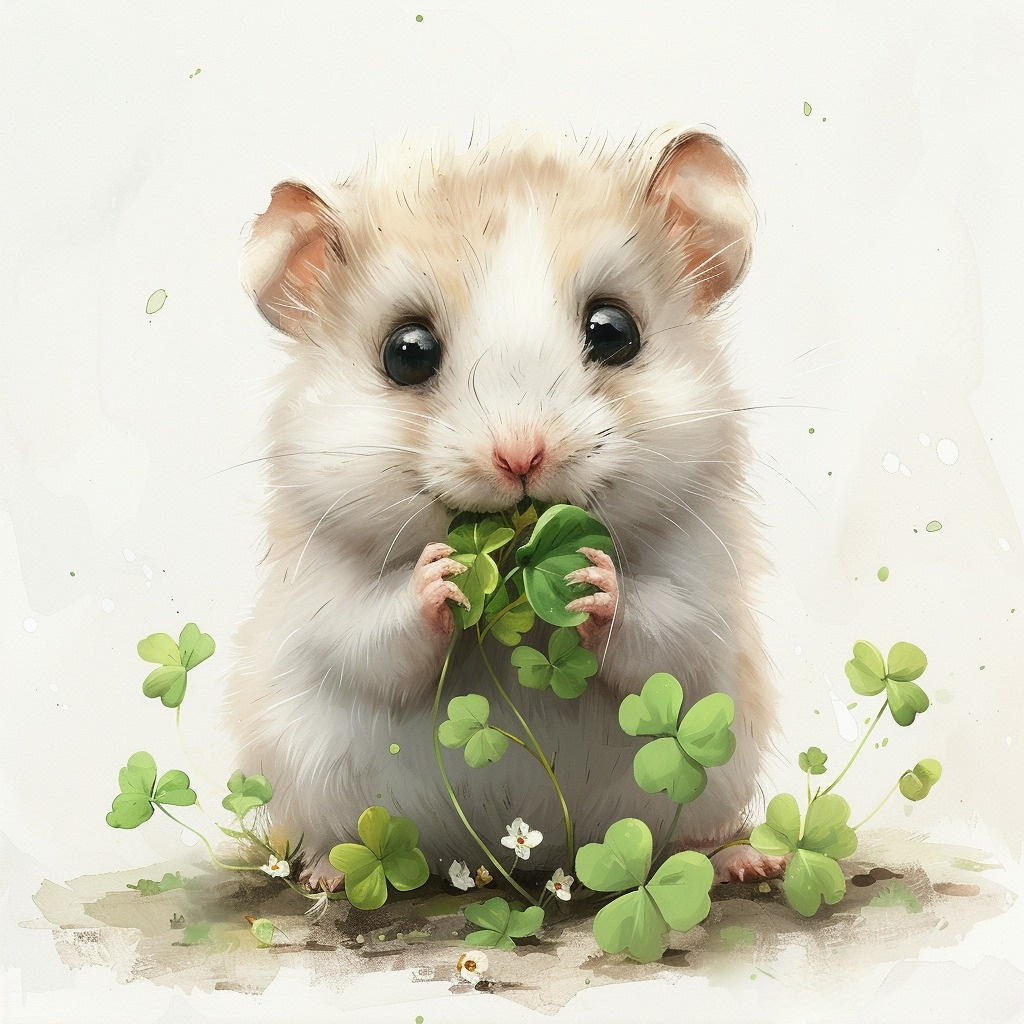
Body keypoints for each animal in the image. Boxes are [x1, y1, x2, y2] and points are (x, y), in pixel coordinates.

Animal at [227, 127, 782, 890]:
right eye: (406, 353)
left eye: (614, 331)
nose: (521, 457)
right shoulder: (321, 592)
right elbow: (370, 635)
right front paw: (440, 575)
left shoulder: (705, 586)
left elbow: (667, 630)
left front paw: (593, 579)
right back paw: (324, 874)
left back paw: (749, 861)